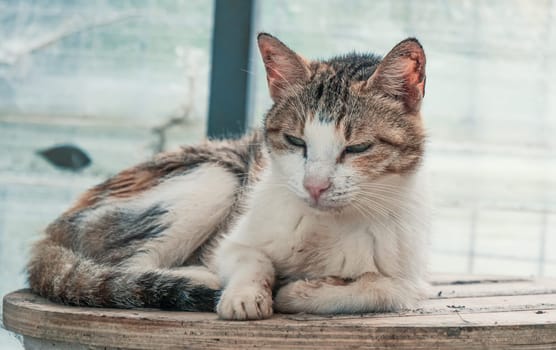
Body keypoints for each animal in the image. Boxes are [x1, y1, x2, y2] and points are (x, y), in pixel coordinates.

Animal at [27, 32, 430, 320]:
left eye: (357, 148)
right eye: (295, 141)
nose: (314, 186)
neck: (327, 226)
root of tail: (51, 231)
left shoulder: (411, 277)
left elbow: (385, 289)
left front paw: (301, 290)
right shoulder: (232, 240)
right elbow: (251, 257)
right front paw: (246, 294)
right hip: (215, 175)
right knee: (124, 267)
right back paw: (196, 278)